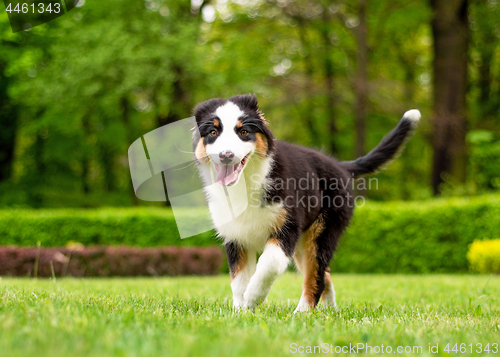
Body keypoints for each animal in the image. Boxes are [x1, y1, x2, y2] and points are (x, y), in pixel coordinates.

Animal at [191, 93, 418, 310]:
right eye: (213, 133)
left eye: (244, 132)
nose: (226, 155)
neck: (246, 181)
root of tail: (340, 166)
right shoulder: (236, 236)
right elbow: (238, 278)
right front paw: (241, 310)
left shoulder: (288, 227)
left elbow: (269, 264)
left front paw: (253, 297)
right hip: (304, 244)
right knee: (324, 275)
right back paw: (329, 310)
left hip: (321, 232)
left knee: (315, 276)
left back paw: (302, 312)